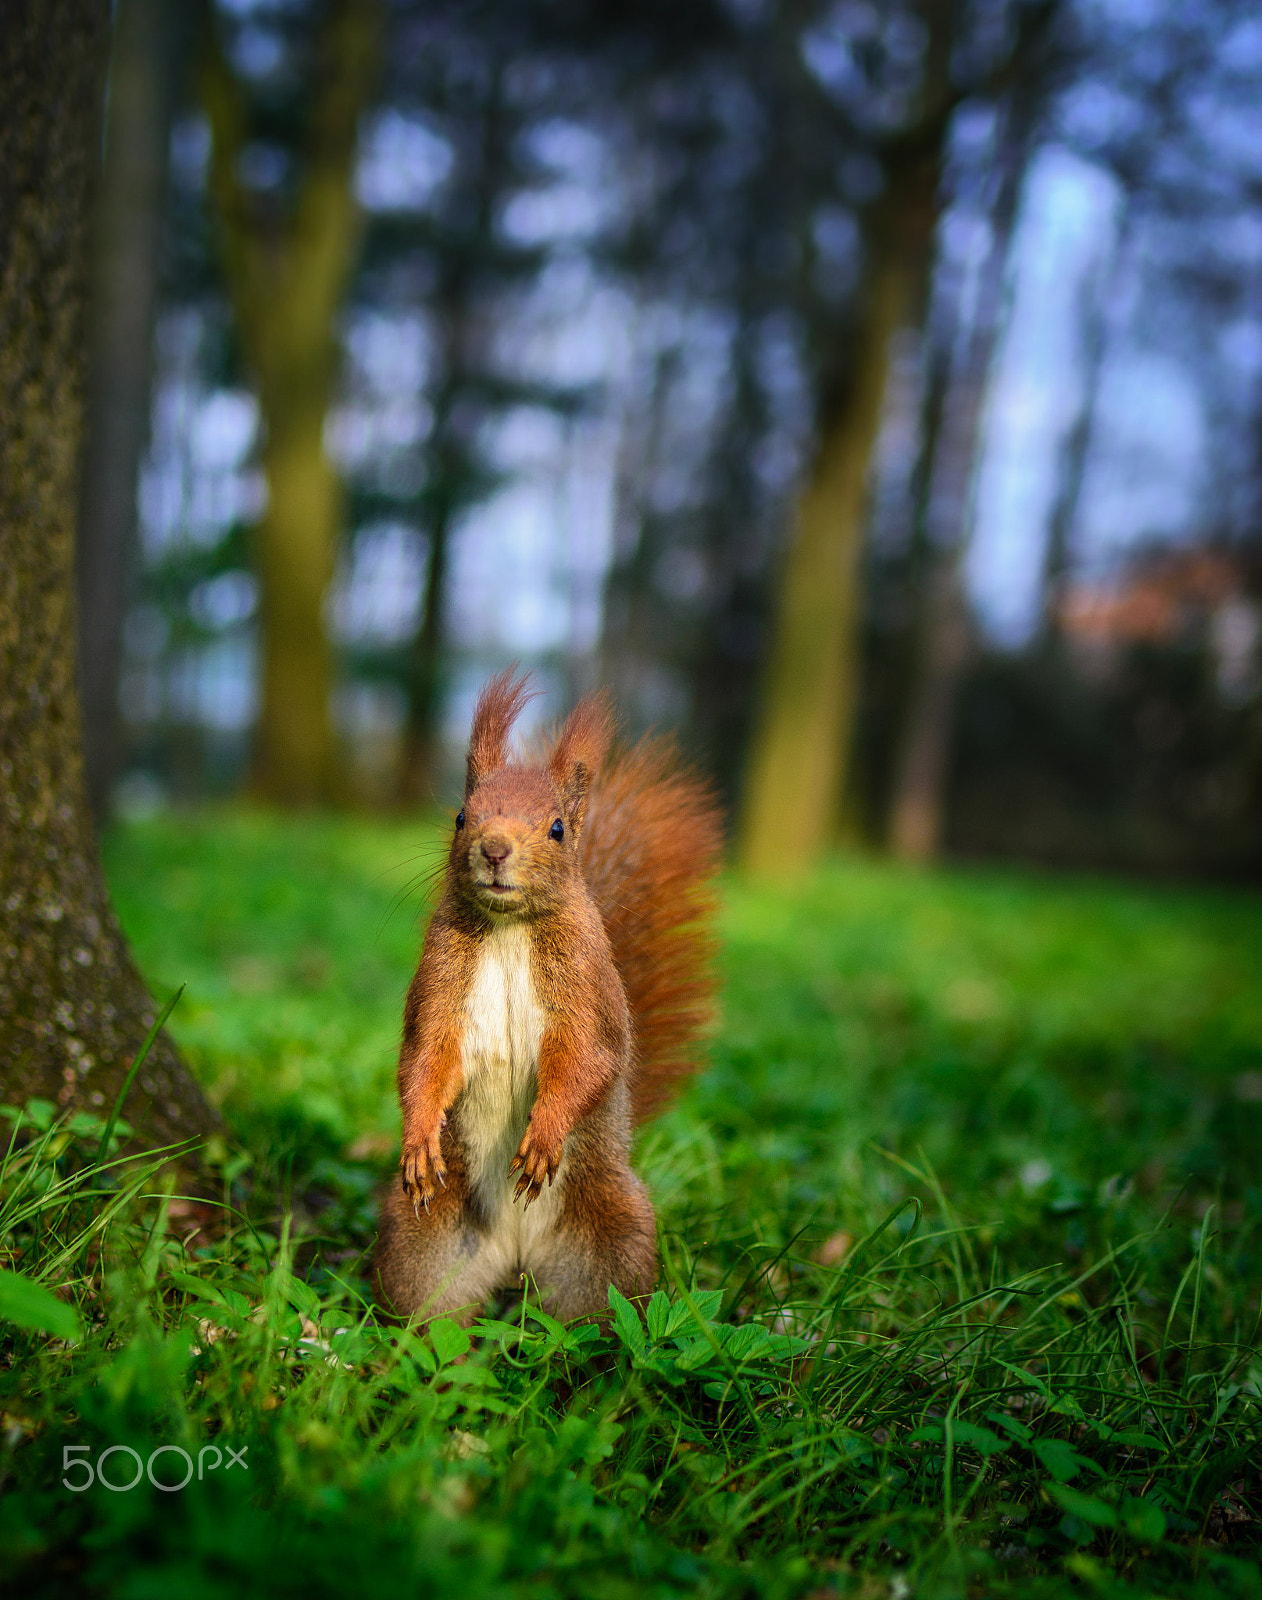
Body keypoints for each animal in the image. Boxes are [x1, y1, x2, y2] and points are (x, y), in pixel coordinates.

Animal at [374, 665, 719, 1324]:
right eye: (461, 817)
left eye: (557, 828)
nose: (494, 849)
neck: (510, 927)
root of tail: (514, 1258)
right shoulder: (440, 982)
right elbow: (425, 1057)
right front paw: (419, 1138)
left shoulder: (586, 986)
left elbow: (586, 1060)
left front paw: (544, 1134)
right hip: (421, 1242)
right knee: (428, 1316)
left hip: (615, 1236)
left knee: (605, 1323)